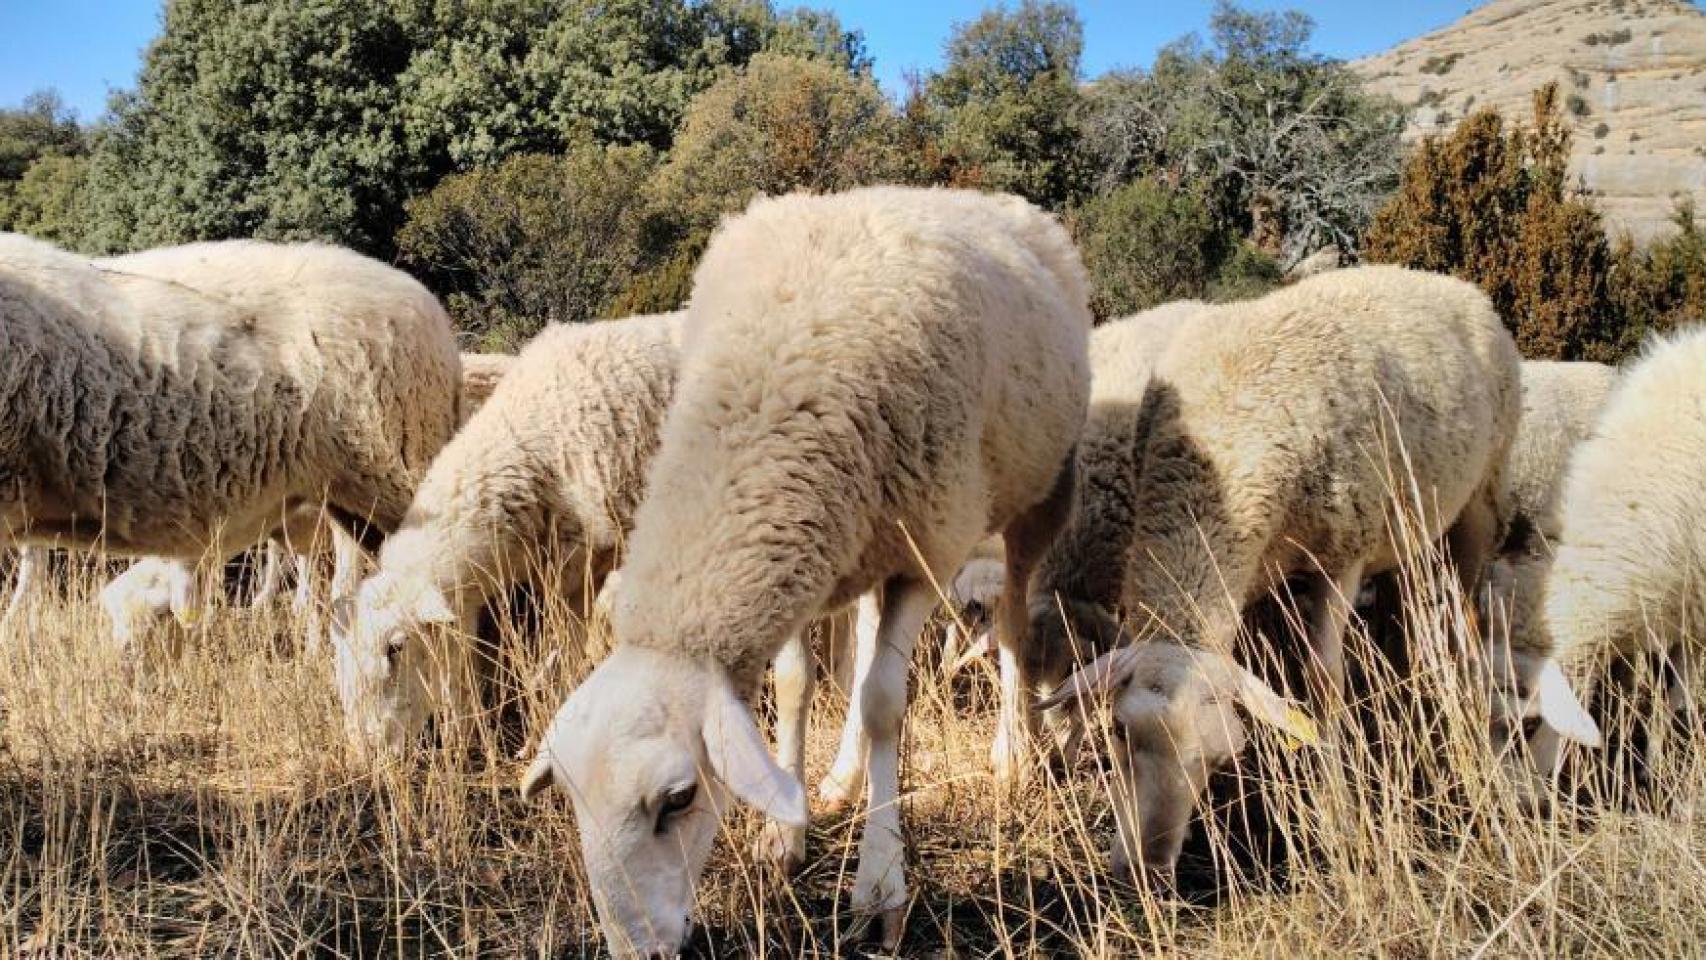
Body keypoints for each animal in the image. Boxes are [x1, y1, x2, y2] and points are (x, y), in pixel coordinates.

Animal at [518, 186, 1091, 957]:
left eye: (678, 800)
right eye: (573, 802)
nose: (640, 951)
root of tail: (970, 195)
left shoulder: (928, 549)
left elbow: (885, 705)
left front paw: (880, 888)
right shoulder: (808, 553)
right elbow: (794, 685)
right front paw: (782, 838)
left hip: (1035, 494)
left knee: (1008, 623)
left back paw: (1012, 753)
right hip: (873, 537)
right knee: (873, 635)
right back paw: (844, 777)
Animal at [1041, 266, 1521, 883]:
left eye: (1220, 760)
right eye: (1120, 731)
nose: (1148, 870)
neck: (1226, 438)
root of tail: (1442, 281)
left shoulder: (1342, 557)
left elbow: (1323, 683)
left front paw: (1338, 810)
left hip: (1480, 501)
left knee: (1465, 616)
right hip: (1408, 531)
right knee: (1404, 618)